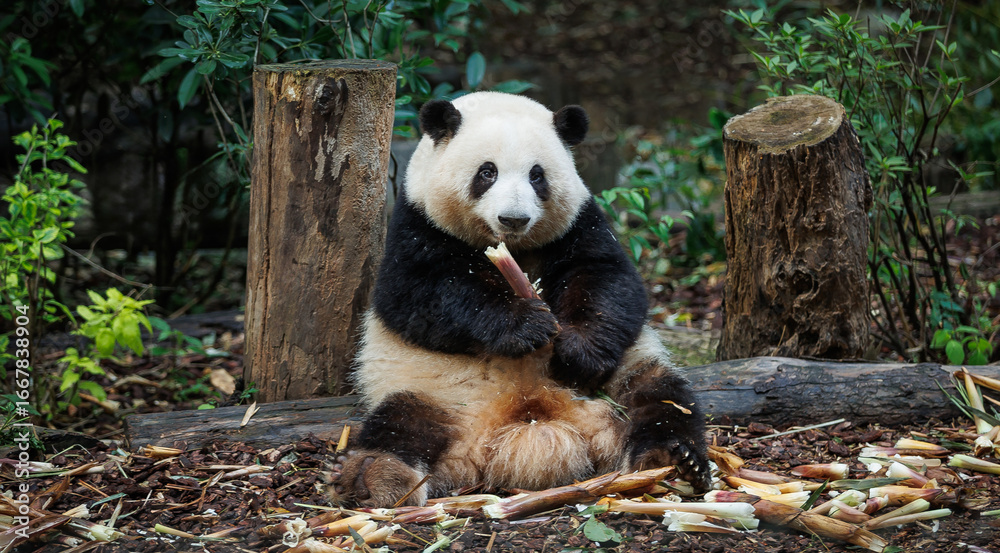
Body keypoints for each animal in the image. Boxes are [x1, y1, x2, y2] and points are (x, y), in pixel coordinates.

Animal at [330, 91, 709, 507]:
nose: (514, 218)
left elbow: (608, 280)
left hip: (623, 376)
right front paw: (527, 324)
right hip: (434, 392)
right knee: (400, 425)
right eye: (487, 172)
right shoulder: (417, 225)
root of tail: (529, 422)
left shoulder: (579, 224)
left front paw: (576, 351)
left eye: (536, 175)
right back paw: (374, 478)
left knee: (660, 397)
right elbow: (418, 296)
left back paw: (673, 458)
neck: (510, 247)